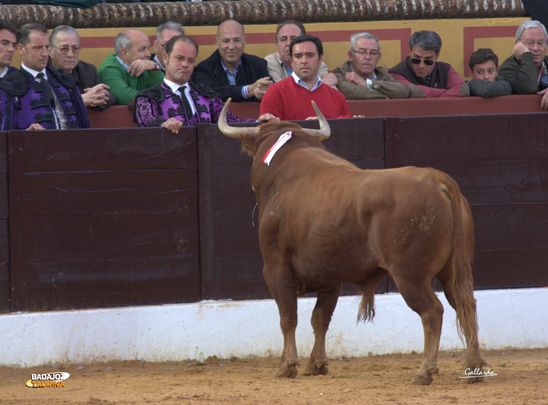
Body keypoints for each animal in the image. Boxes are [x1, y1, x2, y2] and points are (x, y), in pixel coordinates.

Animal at [218, 99, 484, 384]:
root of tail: (439, 180)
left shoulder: (275, 268)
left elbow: (288, 318)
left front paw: (287, 366)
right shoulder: (329, 276)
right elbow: (320, 319)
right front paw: (317, 364)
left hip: (409, 275)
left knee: (433, 312)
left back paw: (425, 371)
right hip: (453, 271)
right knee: (465, 305)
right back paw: (474, 366)